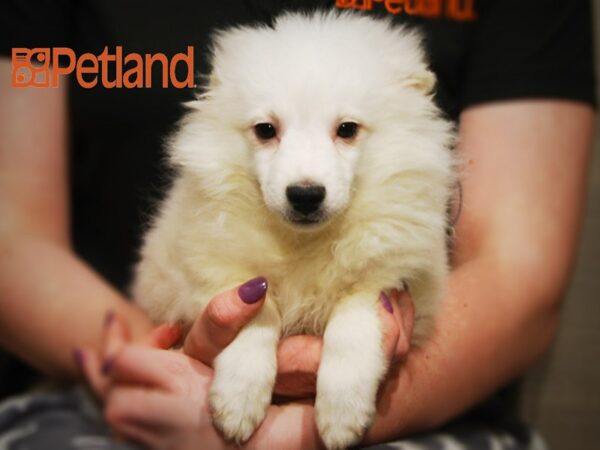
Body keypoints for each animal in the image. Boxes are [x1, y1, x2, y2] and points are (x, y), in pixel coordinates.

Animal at [134, 11, 454, 450]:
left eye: (347, 129)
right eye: (266, 130)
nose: (305, 195)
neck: (304, 243)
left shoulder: (387, 282)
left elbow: (352, 326)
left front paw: (342, 415)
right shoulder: (211, 269)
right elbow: (256, 312)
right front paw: (238, 401)